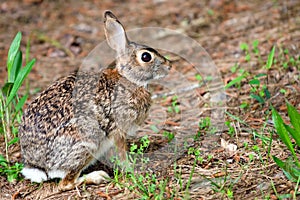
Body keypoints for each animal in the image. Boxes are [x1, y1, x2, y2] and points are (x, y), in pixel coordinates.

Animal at [19, 10, 171, 191]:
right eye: (146, 57)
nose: (169, 65)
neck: (128, 79)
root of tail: (37, 164)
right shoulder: (117, 131)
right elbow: (121, 154)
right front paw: (132, 168)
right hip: (87, 142)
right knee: (66, 183)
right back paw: (97, 176)